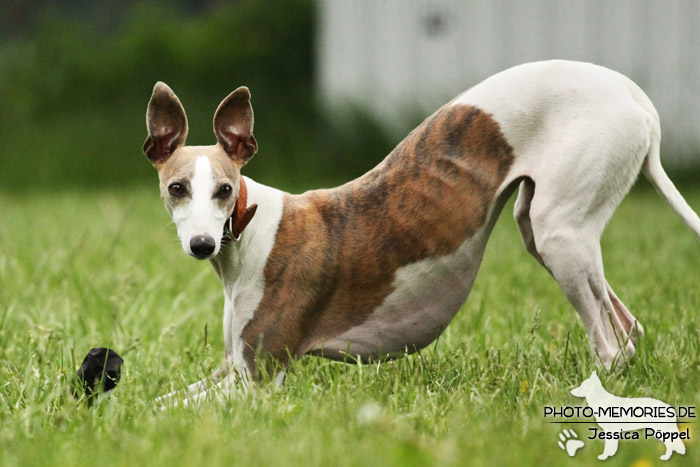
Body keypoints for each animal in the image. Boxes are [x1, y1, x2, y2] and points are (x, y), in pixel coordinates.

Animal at [144, 60, 700, 404]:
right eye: (176, 188)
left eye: (223, 189)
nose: (201, 245)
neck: (251, 228)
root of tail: (631, 92)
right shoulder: (232, 369)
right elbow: (159, 400)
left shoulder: (258, 381)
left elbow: (168, 408)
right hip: (542, 232)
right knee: (629, 329)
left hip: (560, 233)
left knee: (612, 347)